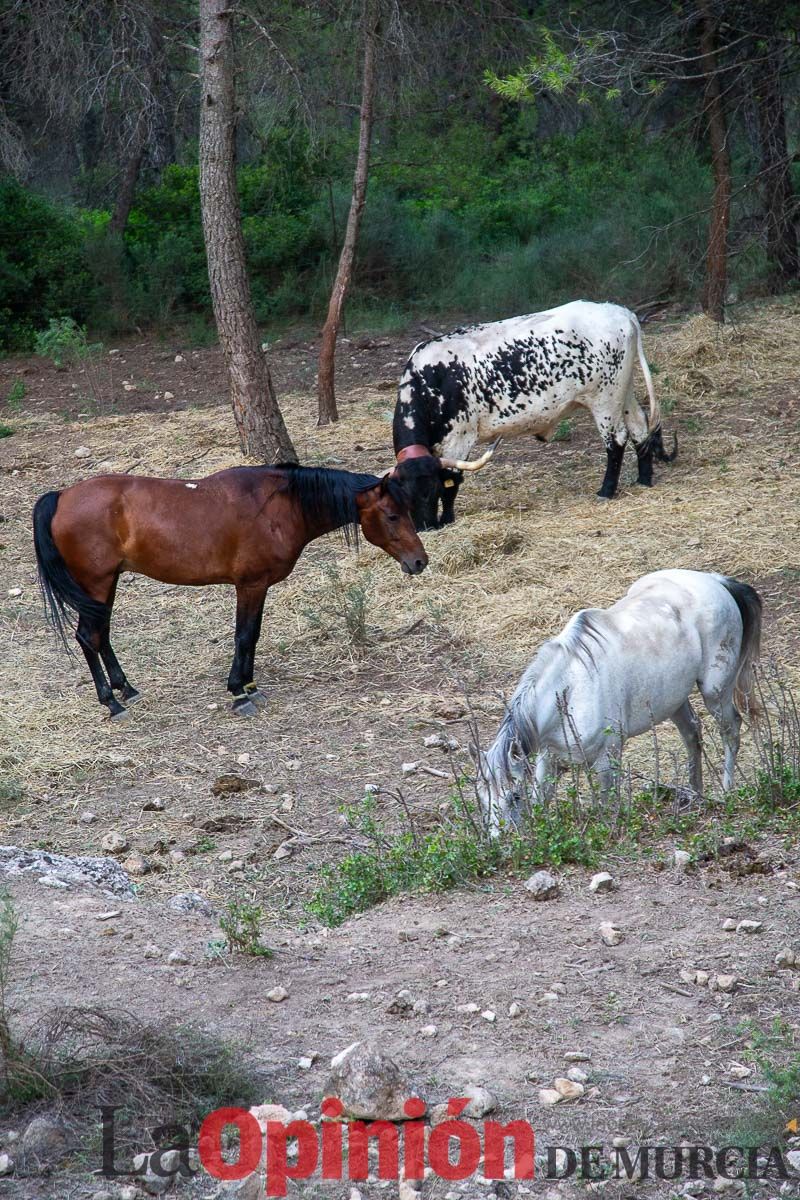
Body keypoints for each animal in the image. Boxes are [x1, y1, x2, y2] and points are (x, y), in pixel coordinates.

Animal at [32, 463, 424, 715]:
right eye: (392, 515)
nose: (420, 561)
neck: (278, 506)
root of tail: (62, 495)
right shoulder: (250, 585)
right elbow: (245, 635)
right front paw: (240, 692)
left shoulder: (257, 587)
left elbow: (253, 634)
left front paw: (248, 686)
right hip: (96, 583)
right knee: (88, 636)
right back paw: (111, 703)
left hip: (106, 584)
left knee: (102, 634)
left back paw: (125, 689)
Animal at [391, 300, 681, 530]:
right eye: (403, 496)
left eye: (429, 491)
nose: (424, 527)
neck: (431, 381)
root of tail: (621, 312)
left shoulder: (459, 440)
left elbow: (452, 483)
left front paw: (447, 519)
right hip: (624, 390)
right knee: (640, 426)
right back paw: (644, 479)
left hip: (605, 399)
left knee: (617, 439)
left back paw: (606, 490)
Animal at [474, 566, 762, 830]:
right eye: (483, 799)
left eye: (514, 796)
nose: (501, 842)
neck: (572, 689)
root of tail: (716, 581)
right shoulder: (550, 759)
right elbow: (541, 798)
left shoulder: (607, 758)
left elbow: (606, 804)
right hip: (675, 701)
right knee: (692, 734)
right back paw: (695, 795)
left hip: (715, 692)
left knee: (731, 730)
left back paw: (726, 791)